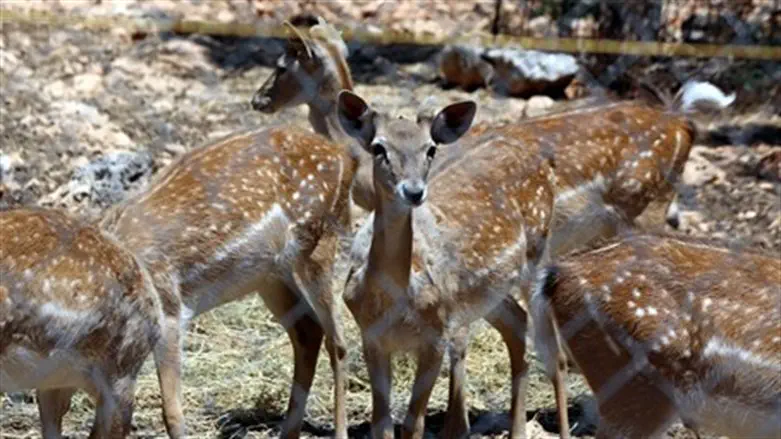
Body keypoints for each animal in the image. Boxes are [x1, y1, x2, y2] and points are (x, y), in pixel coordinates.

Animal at [98, 89, 375, 438]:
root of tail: (345, 158)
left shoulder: (170, 309)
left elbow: (171, 411)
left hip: (318, 243)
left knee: (337, 342)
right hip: (268, 275)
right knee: (308, 330)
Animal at [336, 89, 557, 439]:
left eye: (430, 148)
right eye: (379, 147)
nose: (413, 191)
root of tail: (542, 162)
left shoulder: (436, 333)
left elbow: (413, 423)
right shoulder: (371, 335)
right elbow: (382, 423)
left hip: (538, 255)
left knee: (554, 347)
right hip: (484, 293)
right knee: (517, 321)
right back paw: (517, 429)